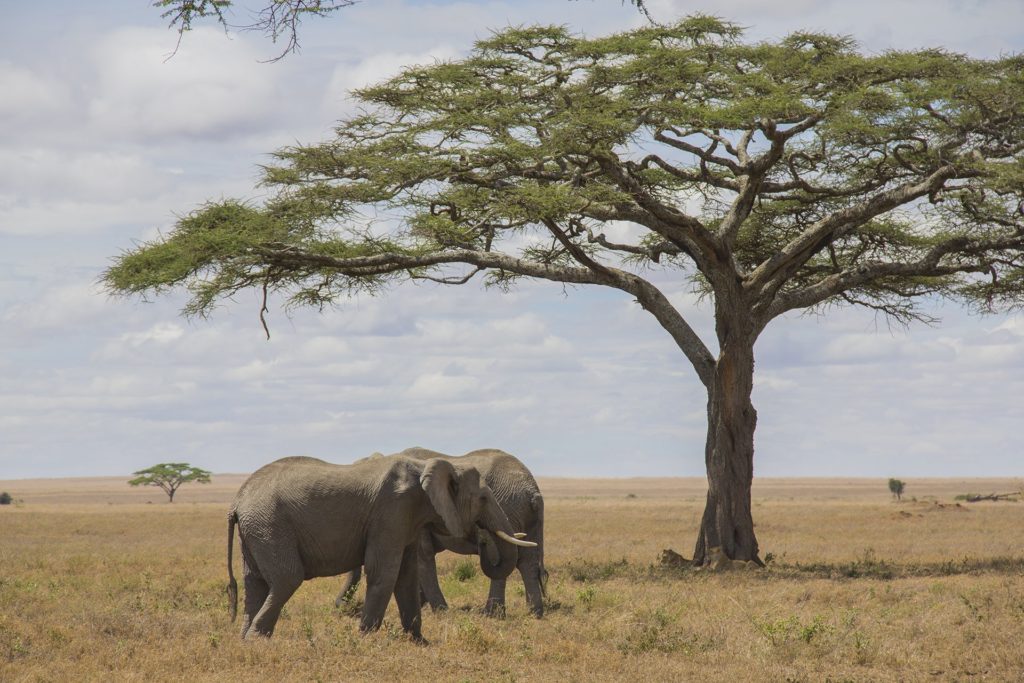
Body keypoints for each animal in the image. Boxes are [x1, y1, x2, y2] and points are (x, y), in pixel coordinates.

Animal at [220, 454, 532, 643]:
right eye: (482, 498)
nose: (482, 537)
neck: (429, 465)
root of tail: (236, 502)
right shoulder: (392, 511)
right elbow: (385, 570)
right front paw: (365, 640)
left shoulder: (407, 519)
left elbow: (406, 575)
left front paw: (420, 642)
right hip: (270, 525)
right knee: (287, 579)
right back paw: (258, 640)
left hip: (257, 530)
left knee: (255, 583)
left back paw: (246, 641)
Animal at [335, 448, 548, 618]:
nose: (339, 607)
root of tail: (533, 491)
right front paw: (422, 604)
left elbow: (422, 557)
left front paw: (440, 611)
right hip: (527, 516)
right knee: (527, 561)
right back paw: (534, 613)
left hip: (510, 506)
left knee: (503, 558)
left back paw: (491, 614)